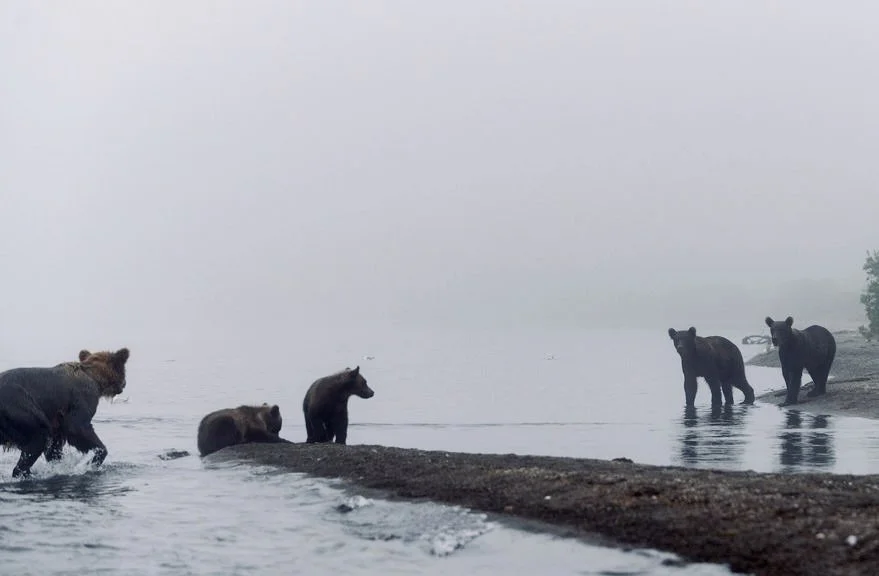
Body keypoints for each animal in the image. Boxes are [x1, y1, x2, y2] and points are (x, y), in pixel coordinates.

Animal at [0, 347, 130, 478]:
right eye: (123, 370)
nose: (124, 384)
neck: (94, 378)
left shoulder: (57, 423)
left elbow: (54, 448)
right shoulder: (82, 398)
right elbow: (77, 428)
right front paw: (93, 460)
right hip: (19, 407)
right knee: (39, 434)